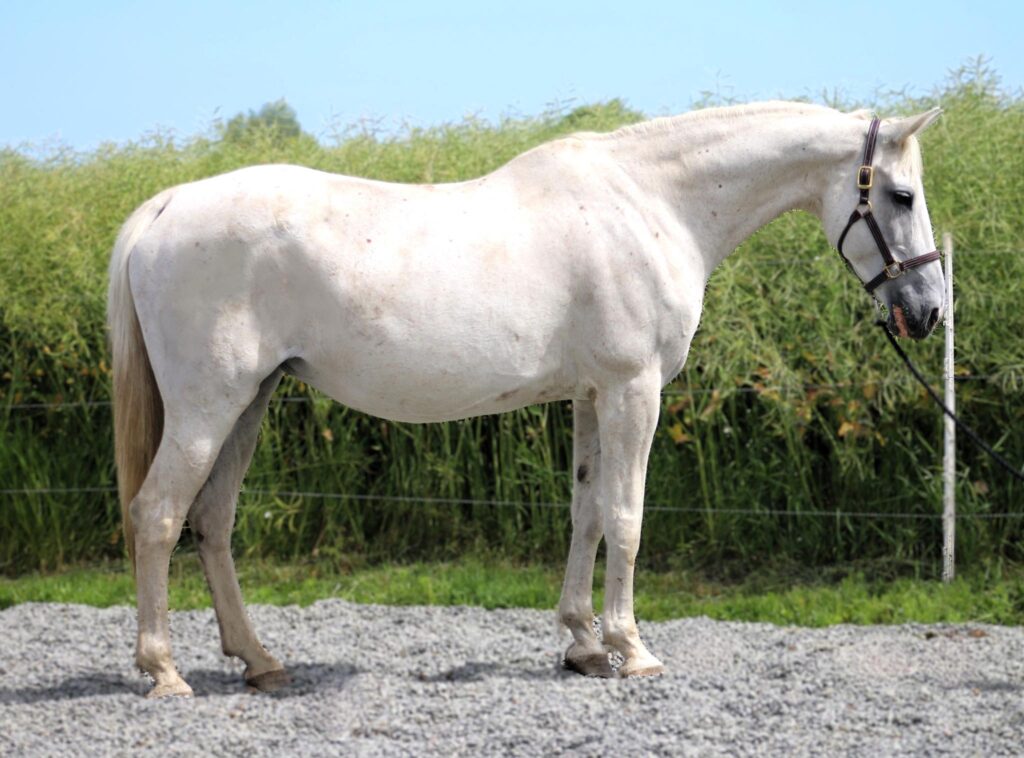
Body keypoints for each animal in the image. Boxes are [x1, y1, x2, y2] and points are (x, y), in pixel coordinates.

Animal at [110, 101, 942, 700]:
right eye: (901, 196)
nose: (927, 310)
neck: (652, 203)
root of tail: (166, 207)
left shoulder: (591, 394)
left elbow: (587, 513)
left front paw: (582, 645)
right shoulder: (633, 388)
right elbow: (627, 517)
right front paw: (632, 650)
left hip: (250, 401)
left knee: (212, 521)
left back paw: (258, 661)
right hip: (206, 409)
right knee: (158, 516)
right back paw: (164, 671)